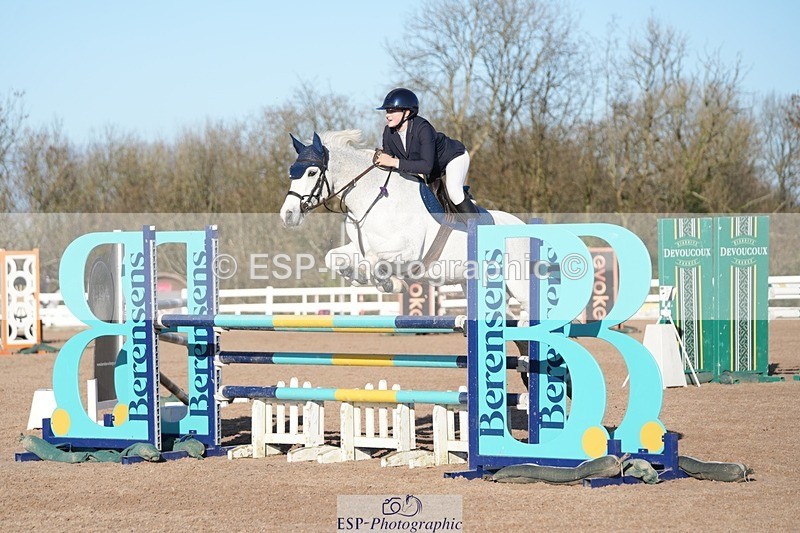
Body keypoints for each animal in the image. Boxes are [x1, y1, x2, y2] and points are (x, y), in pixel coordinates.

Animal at [279, 130, 532, 320]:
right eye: (292, 174)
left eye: (312, 172)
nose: (287, 215)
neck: (374, 198)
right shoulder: (360, 246)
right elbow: (333, 257)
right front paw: (358, 276)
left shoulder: (408, 251)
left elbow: (374, 261)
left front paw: (390, 283)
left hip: (518, 281)